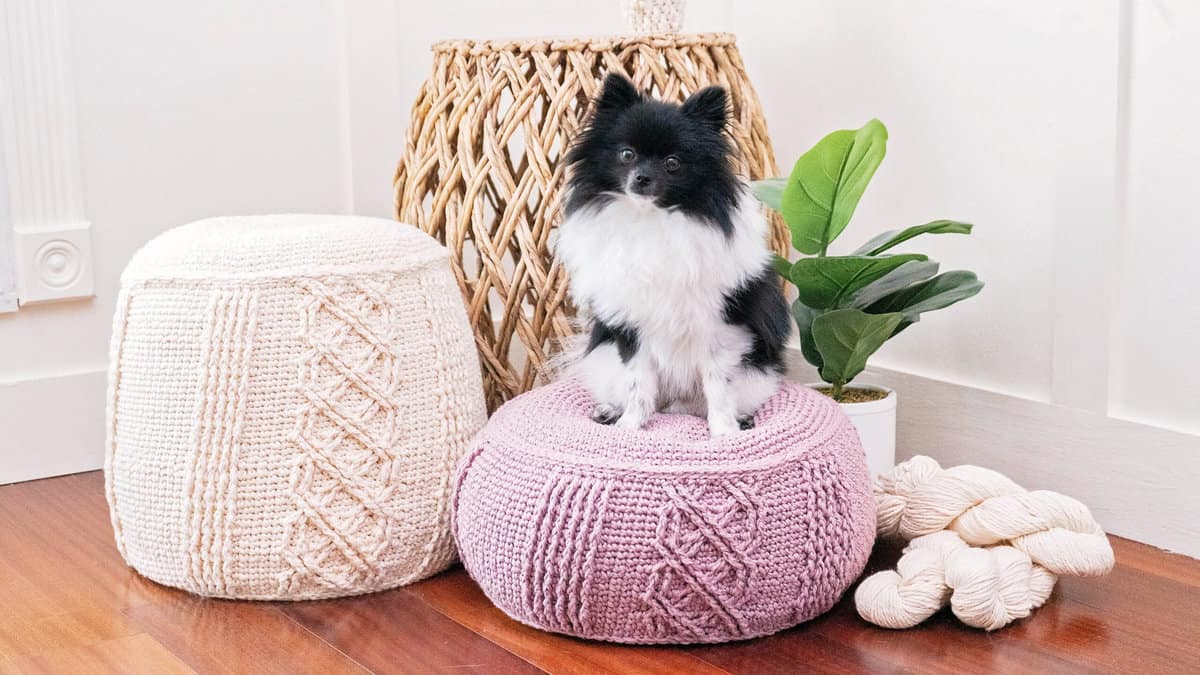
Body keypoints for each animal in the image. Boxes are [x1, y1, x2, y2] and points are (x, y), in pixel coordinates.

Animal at [556, 70, 792, 432]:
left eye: (672, 163)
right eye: (627, 155)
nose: (642, 178)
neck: (652, 219)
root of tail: (673, 404)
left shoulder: (720, 329)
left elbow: (718, 386)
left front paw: (724, 432)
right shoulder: (631, 329)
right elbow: (638, 384)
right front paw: (629, 426)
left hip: (757, 373)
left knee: (701, 403)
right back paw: (611, 411)